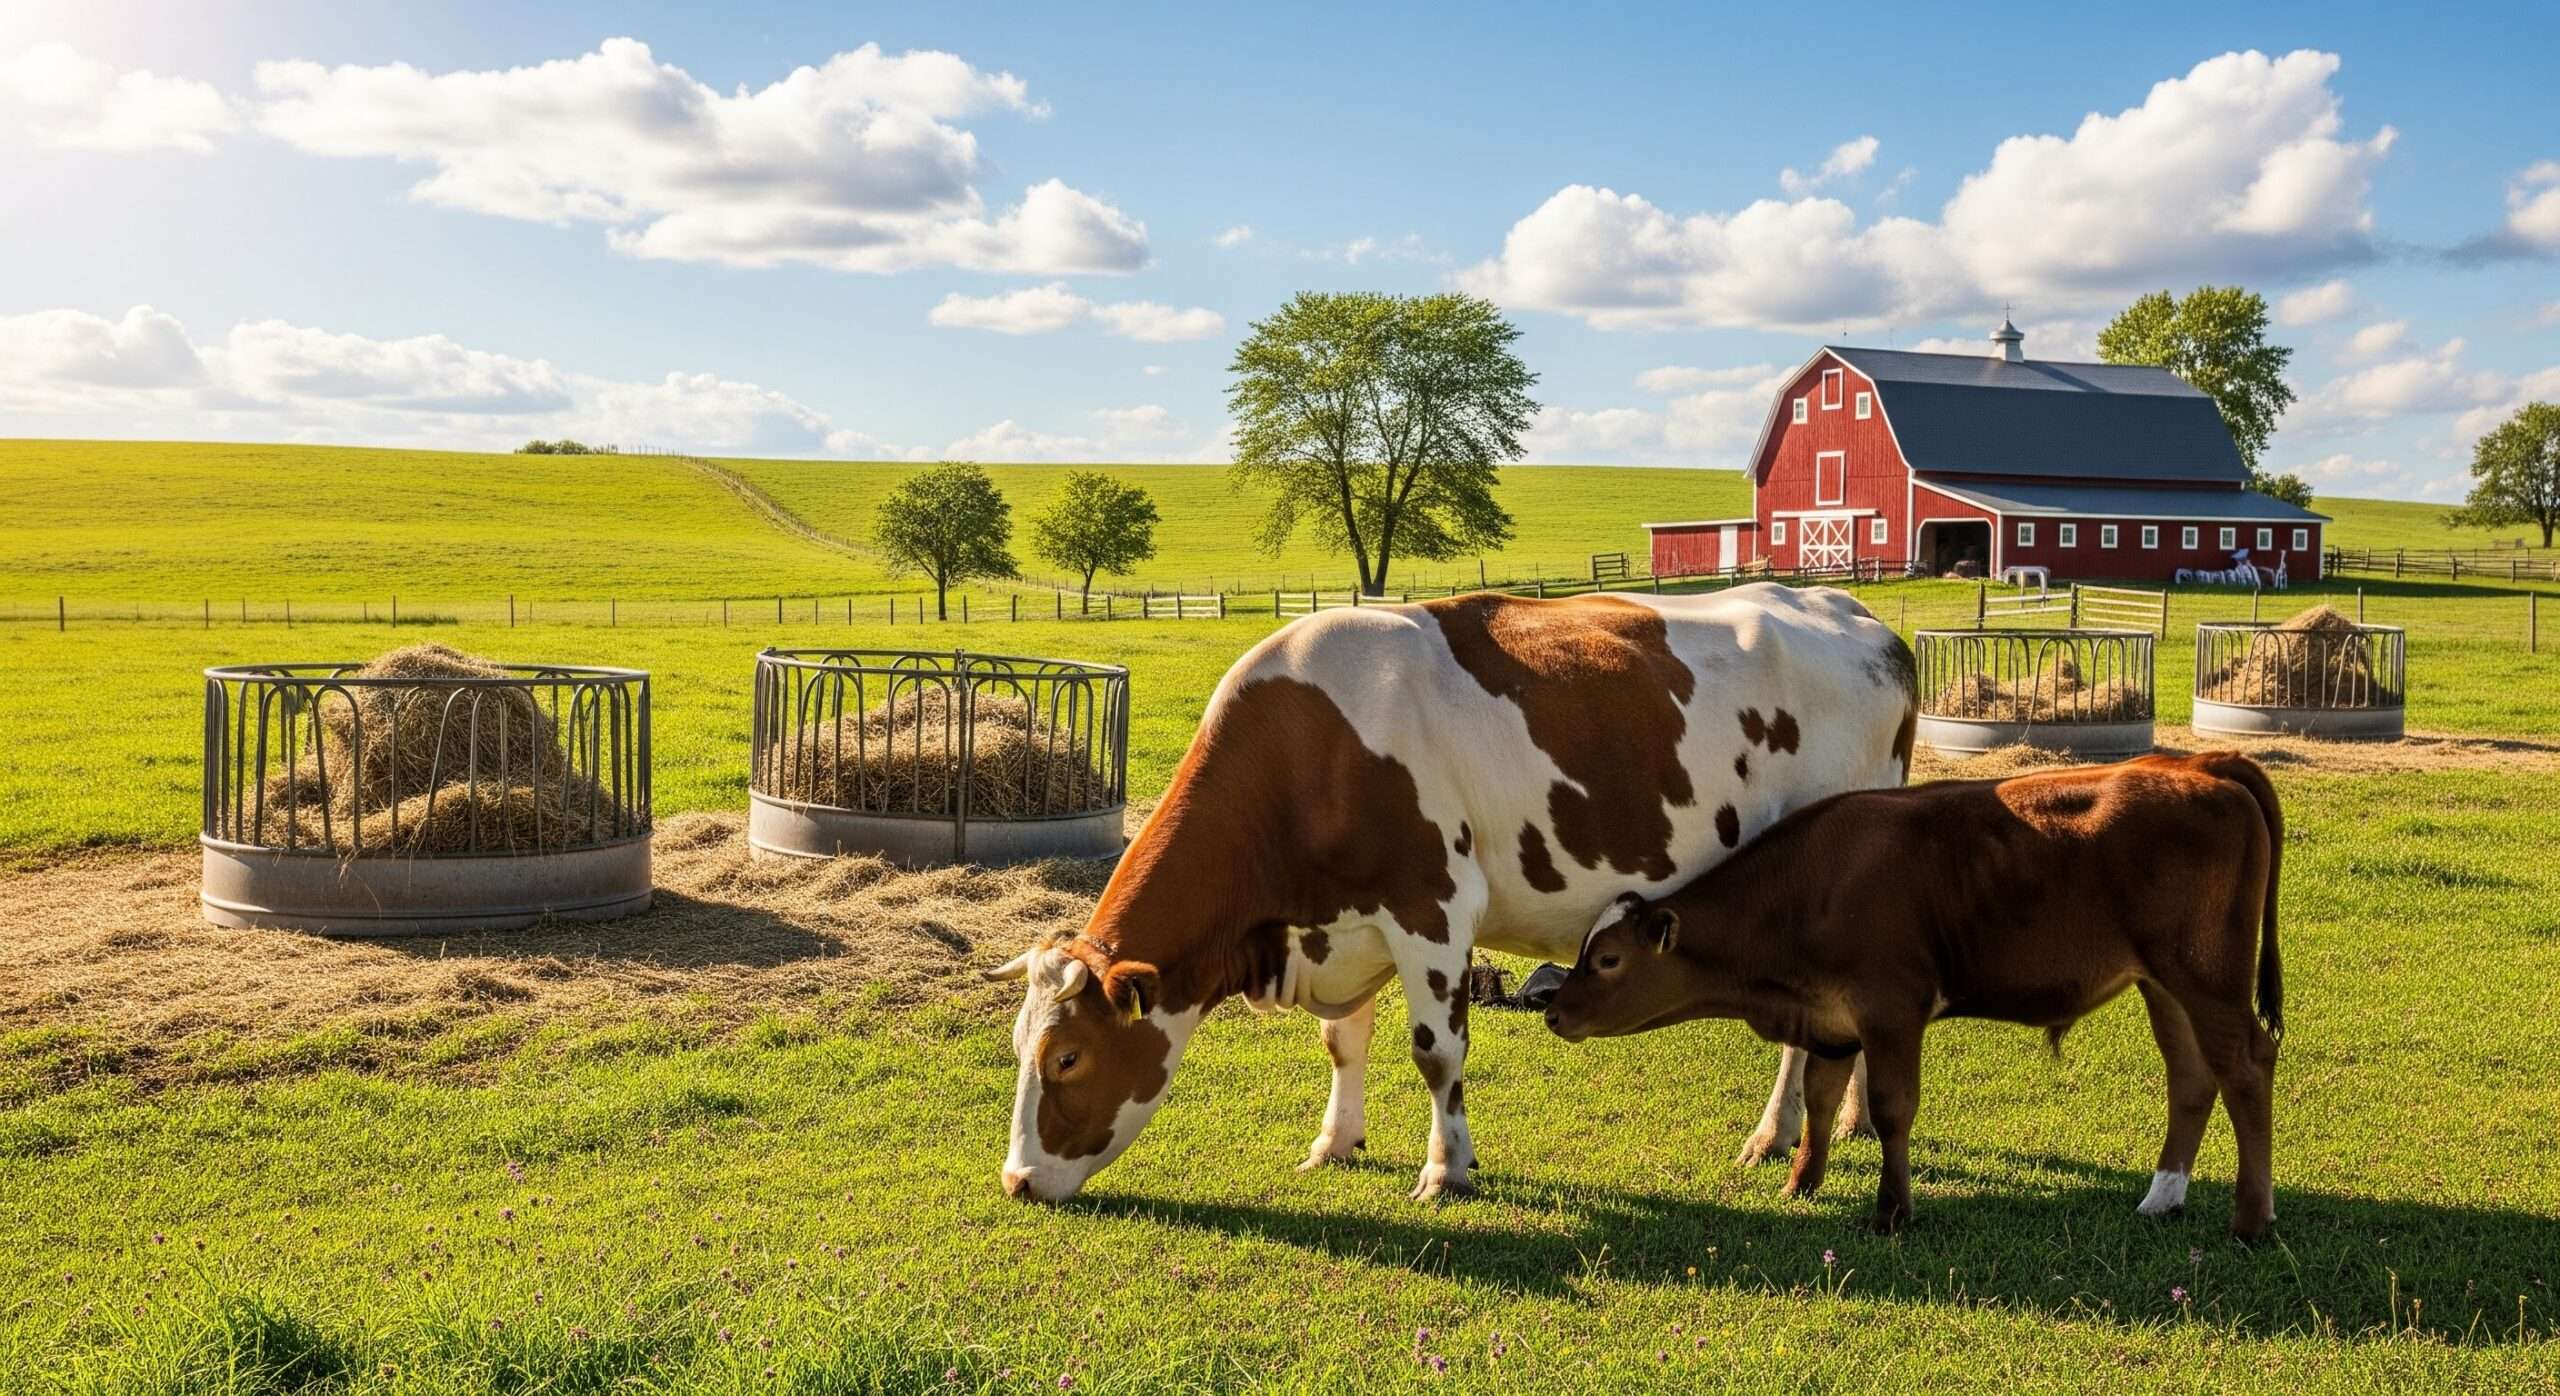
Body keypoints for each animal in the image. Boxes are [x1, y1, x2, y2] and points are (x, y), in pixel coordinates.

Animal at [987, 583, 1919, 1203]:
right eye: (1019, 1046)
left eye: (1067, 1057)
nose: (1017, 1181)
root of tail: (1860, 618)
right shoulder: (1342, 922)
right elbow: (1342, 1042)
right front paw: (1335, 1143)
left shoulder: (1430, 910)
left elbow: (1437, 1054)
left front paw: (1447, 1169)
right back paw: (1846, 1123)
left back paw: (1776, 1135)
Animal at [1544, 752, 2285, 1240]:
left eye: (1607, 960)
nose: (1552, 1010)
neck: (1803, 891)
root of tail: (2198, 764)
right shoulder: (1831, 1023)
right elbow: (1819, 1099)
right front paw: (1802, 1180)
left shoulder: (1891, 1012)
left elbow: (1892, 1109)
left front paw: (1891, 1210)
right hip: (2165, 985)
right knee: (2193, 1077)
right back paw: (2163, 1198)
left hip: (2206, 978)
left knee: (2246, 1067)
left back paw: (2251, 1218)